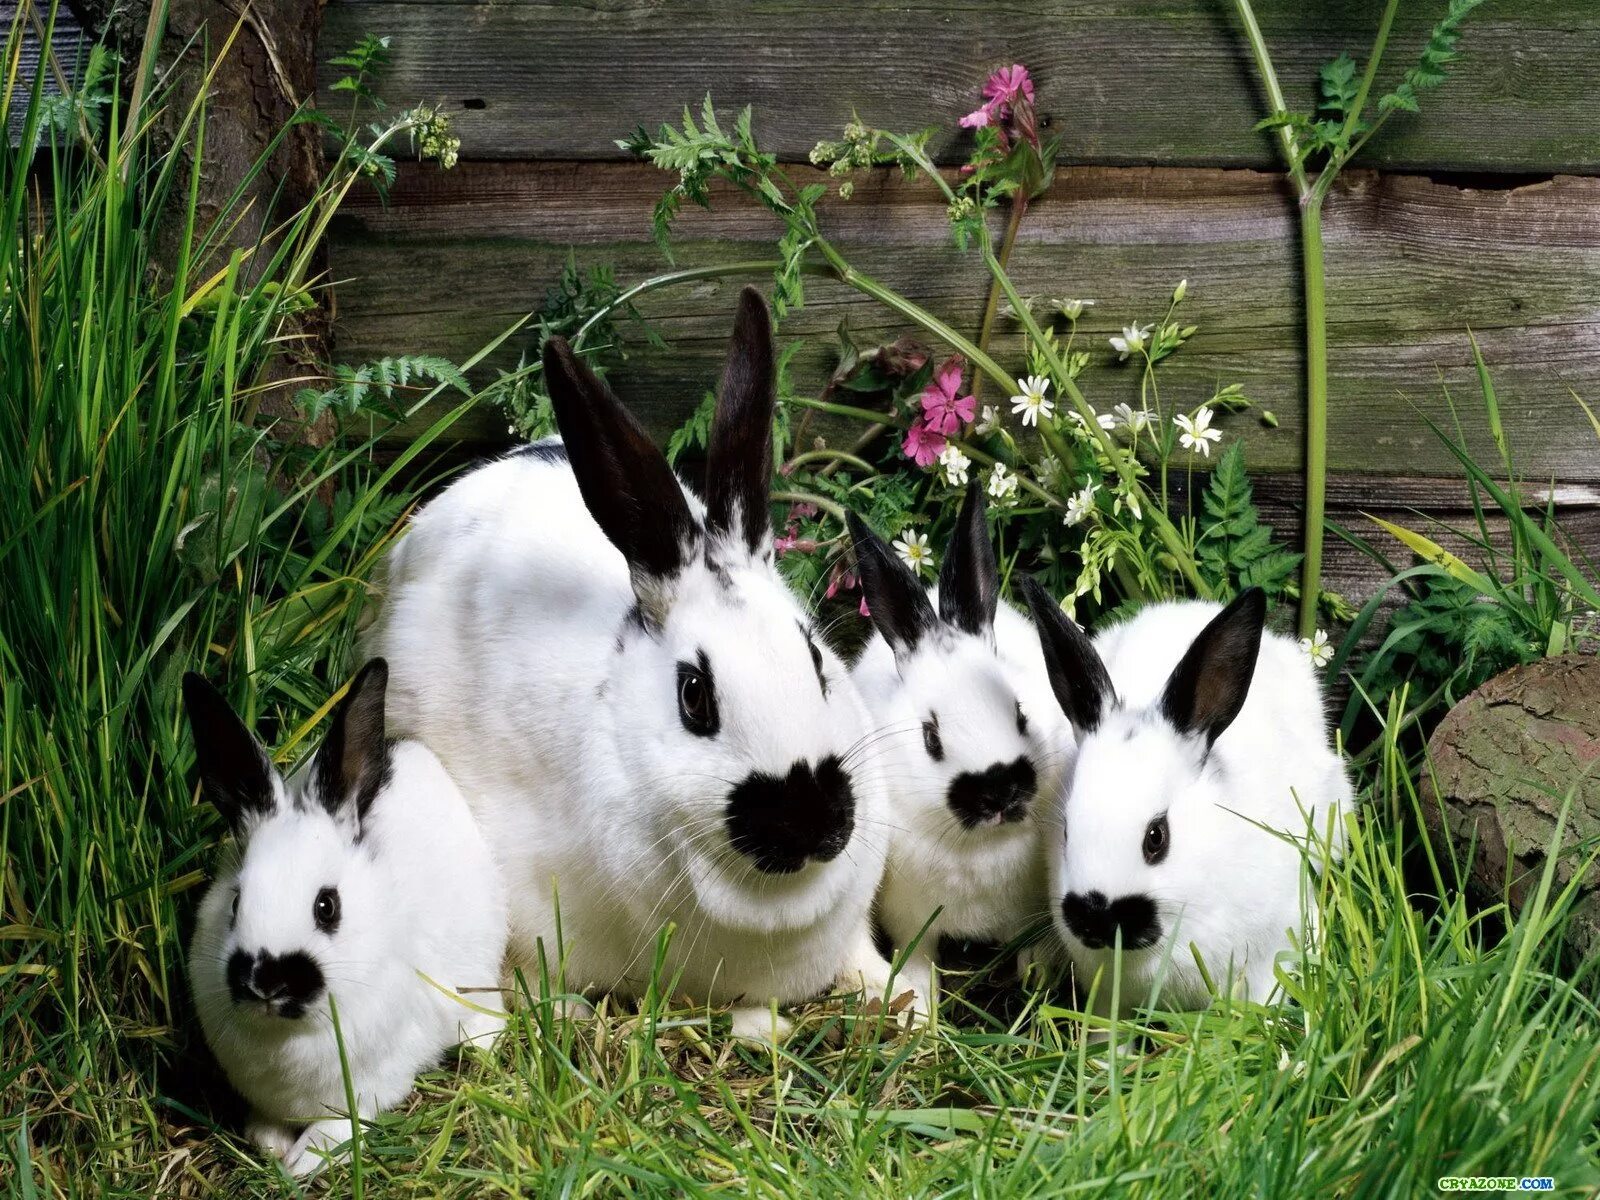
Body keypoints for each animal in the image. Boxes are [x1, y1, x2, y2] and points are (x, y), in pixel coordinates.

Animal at [182, 659, 508, 1177]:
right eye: (235, 903)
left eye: (327, 906)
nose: (267, 982)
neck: (290, 1034)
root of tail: (407, 747)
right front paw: (267, 1141)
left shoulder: (374, 1081)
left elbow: (339, 1126)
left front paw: (301, 1162)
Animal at [851, 483, 1075, 1011]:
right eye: (930, 737)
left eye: (1020, 712)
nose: (999, 791)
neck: (981, 847)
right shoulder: (912, 919)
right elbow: (917, 958)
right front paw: (919, 1010)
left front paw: (1037, 980)